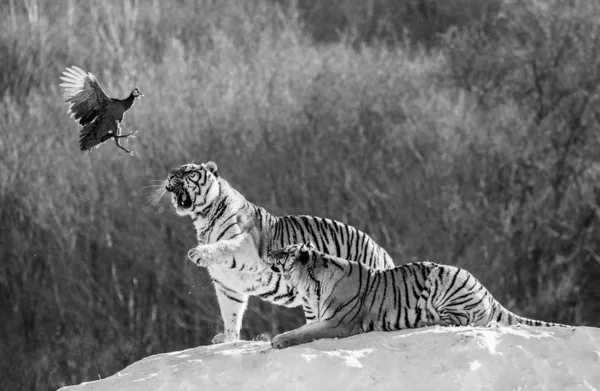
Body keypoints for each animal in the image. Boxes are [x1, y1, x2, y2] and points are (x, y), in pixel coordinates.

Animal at [155, 162, 394, 344]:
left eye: (189, 171)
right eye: (175, 171)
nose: (169, 175)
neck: (203, 220)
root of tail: (382, 252)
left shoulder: (247, 246)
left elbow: (224, 245)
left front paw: (197, 253)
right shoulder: (227, 284)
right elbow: (231, 314)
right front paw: (228, 339)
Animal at [266, 242, 568, 350]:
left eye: (283, 251)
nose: (269, 251)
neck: (307, 285)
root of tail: (486, 291)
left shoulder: (337, 323)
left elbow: (303, 333)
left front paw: (279, 340)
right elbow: (303, 328)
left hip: (444, 282)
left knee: (461, 320)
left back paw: (426, 320)